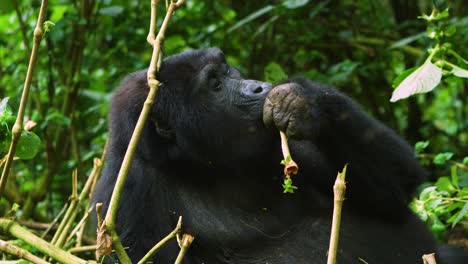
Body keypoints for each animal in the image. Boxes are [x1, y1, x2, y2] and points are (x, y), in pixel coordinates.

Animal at [93, 48, 456, 262]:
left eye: (229, 71)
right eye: (215, 85)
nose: (257, 87)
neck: (199, 164)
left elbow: (394, 193)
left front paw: (303, 100)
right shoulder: (124, 196)